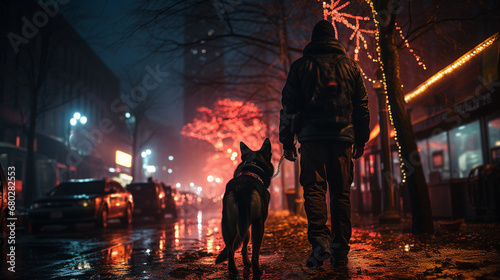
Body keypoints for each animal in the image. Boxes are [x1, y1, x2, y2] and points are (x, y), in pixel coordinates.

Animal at [216, 138, 276, 276]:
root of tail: (242, 189)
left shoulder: (245, 224)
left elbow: (242, 246)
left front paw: (245, 262)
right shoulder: (258, 222)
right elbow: (251, 249)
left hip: (228, 224)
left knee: (230, 250)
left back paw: (233, 270)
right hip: (257, 225)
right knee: (255, 253)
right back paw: (257, 270)